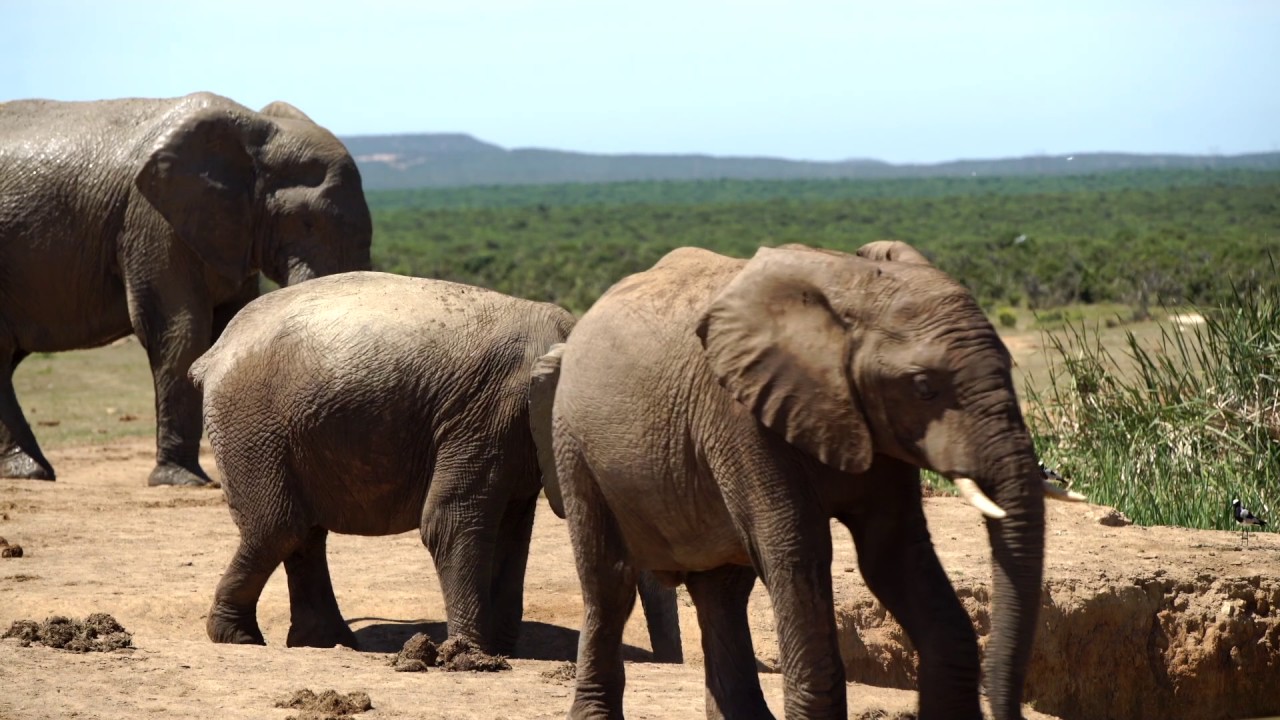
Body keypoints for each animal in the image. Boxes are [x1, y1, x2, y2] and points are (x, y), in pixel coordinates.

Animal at [0, 92, 373, 486]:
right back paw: (31, 472)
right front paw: (181, 481)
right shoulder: (152, 221)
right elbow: (180, 333)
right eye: (306, 222)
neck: (255, 128)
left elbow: (228, 324)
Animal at [192, 271, 681, 660]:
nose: (672, 665)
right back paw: (240, 639)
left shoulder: (511, 436)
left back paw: (328, 643)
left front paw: (501, 650)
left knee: (303, 532)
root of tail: (216, 351)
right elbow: (451, 522)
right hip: (253, 423)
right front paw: (471, 655)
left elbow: (511, 535)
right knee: (280, 526)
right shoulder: (488, 413)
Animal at [548, 241, 1083, 719]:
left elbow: (895, 553)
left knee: (721, 594)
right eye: (923, 387)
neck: (850, 291)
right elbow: (796, 552)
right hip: (572, 439)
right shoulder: (742, 418)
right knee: (609, 583)